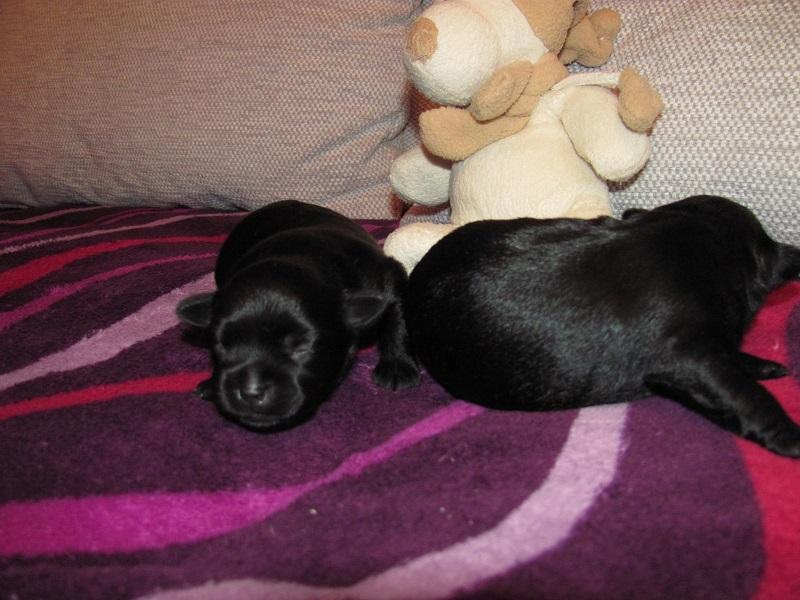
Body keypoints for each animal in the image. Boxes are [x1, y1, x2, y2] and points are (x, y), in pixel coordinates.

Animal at [177, 200, 419, 431]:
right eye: (222, 345)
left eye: (302, 347)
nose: (251, 392)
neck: (298, 256)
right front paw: (212, 383)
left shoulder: (388, 276)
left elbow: (398, 314)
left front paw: (397, 366)